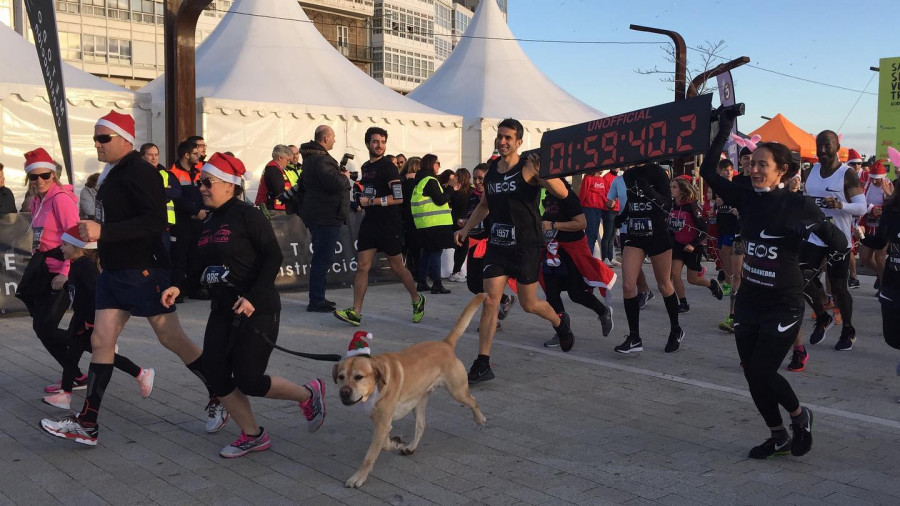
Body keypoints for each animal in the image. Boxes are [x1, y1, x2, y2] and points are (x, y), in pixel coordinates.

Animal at [332, 294, 486, 488]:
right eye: (341, 377)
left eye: (359, 377)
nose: (344, 392)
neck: (377, 385)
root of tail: (445, 344)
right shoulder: (382, 423)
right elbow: (385, 444)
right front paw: (396, 444)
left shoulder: (383, 424)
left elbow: (369, 456)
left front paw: (358, 477)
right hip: (419, 401)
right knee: (421, 425)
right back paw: (411, 447)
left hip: (457, 391)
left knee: (473, 400)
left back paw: (480, 419)